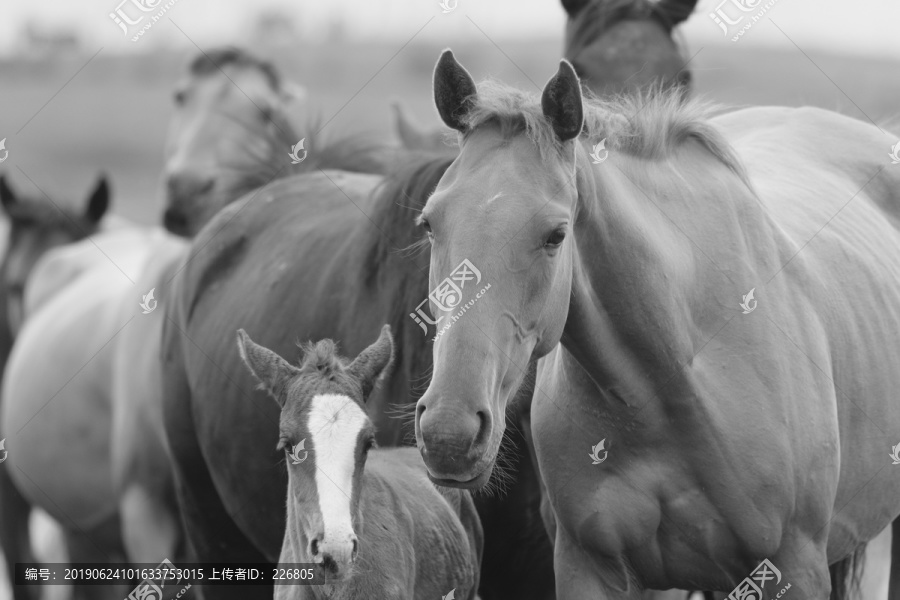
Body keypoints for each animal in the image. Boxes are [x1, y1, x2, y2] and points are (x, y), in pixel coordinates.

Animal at [414, 48, 900, 600]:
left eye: (556, 234)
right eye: (429, 224)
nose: (449, 435)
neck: (675, 378)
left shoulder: (794, 567)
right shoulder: (589, 567)